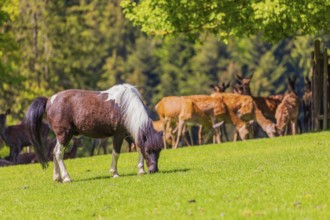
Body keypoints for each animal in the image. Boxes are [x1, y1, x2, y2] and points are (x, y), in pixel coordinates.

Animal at [24, 83, 162, 183]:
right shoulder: (119, 134)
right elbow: (116, 153)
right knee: (58, 153)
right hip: (64, 135)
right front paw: (114, 173)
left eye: (159, 150)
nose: (153, 170)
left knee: (54, 152)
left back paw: (57, 177)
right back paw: (66, 177)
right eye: (149, 150)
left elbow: (138, 148)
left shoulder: (131, 133)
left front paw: (141, 170)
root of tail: (49, 100)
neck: (125, 106)